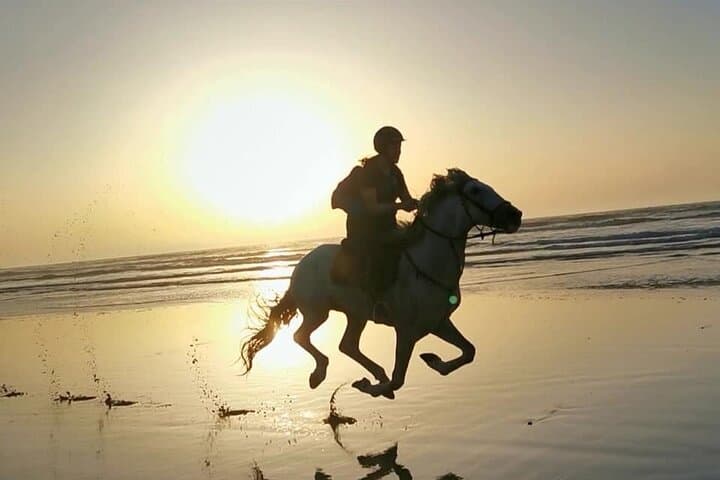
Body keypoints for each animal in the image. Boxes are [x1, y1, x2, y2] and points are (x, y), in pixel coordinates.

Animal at [240, 168, 522, 399]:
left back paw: (374, 372)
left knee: (347, 345)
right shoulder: (406, 331)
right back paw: (320, 373)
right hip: (318, 311)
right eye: (475, 190)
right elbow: (398, 379)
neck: (429, 262)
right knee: (301, 336)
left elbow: (469, 351)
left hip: (356, 314)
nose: (515, 215)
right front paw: (371, 387)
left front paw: (433, 360)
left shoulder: (438, 322)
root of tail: (300, 266)